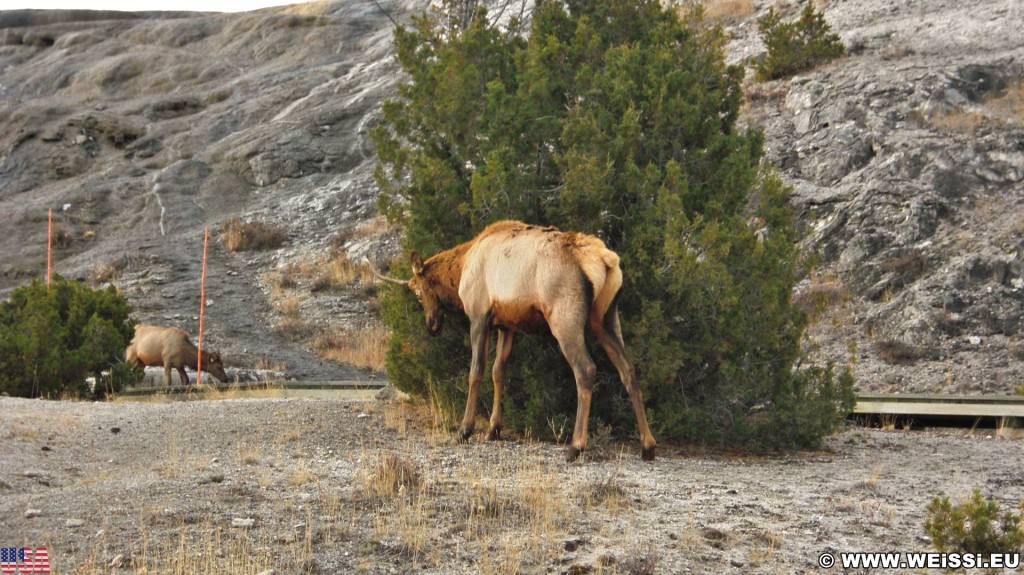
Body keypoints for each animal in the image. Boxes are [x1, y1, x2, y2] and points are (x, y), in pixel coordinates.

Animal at [370, 218, 655, 460]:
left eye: (419, 293)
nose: (431, 325)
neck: (460, 268)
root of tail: (606, 260)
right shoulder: (506, 325)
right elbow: (499, 372)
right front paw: (494, 428)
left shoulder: (479, 314)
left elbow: (476, 371)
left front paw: (465, 429)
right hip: (606, 317)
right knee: (628, 369)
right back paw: (648, 446)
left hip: (565, 317)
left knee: (585, 369)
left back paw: (575, 446)